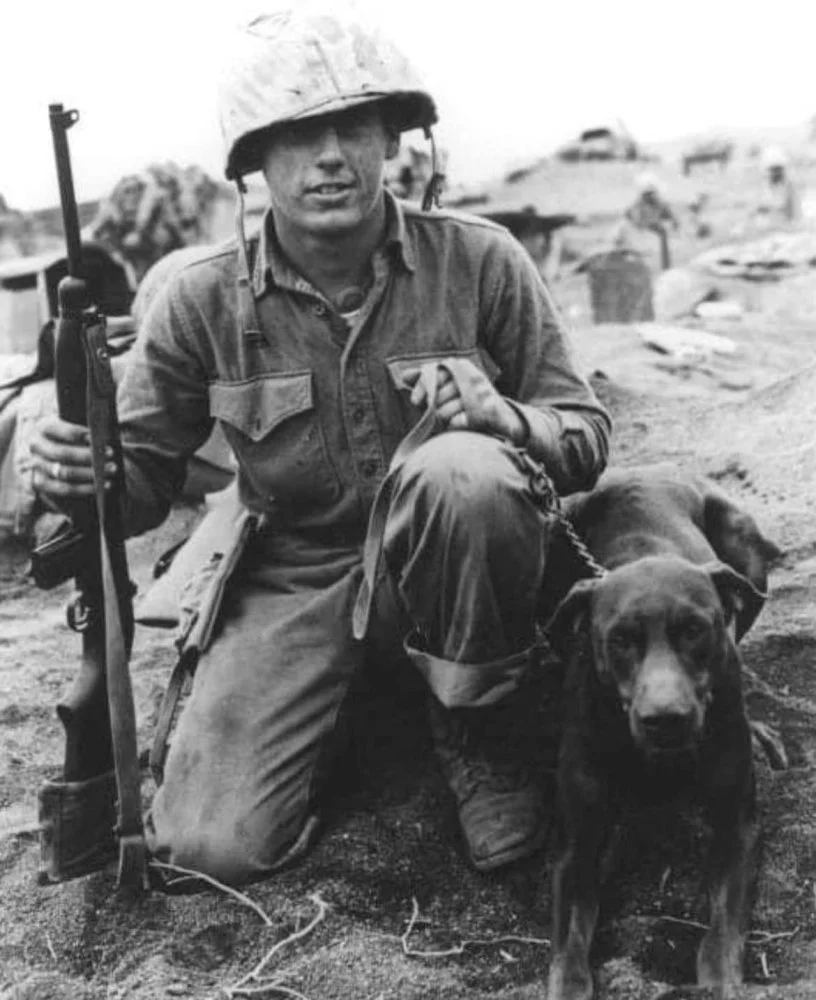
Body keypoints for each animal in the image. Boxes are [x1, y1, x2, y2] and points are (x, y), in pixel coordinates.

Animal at [540, 466, 776, 1000]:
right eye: (620, 640)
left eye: (694, 630)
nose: (665, 718)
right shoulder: (576, 846)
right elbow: (568, 955)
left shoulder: (737, 824)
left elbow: (721, 936)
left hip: (743, 544)